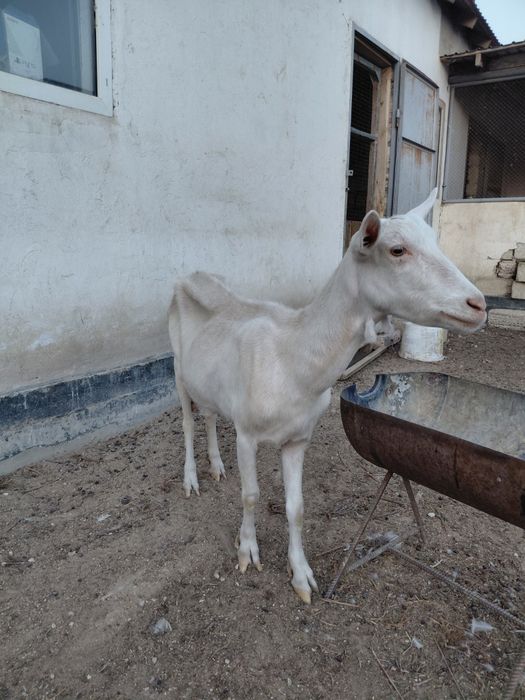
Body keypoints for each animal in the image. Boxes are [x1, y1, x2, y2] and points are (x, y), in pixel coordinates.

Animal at [168, 189, 486, 603]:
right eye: (397, 249)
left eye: (435, 239)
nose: (478, 304)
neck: (291, 362)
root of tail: (190, 275)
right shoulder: (247, 433)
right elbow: (251, 494)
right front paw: (247, 552)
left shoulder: (299, 437)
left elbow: (297, 507)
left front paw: (302, 577)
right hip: (177, 366)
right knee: (188, 422)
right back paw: (191, 479)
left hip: (207, 381)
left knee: (207, 413)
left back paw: (217, 466)